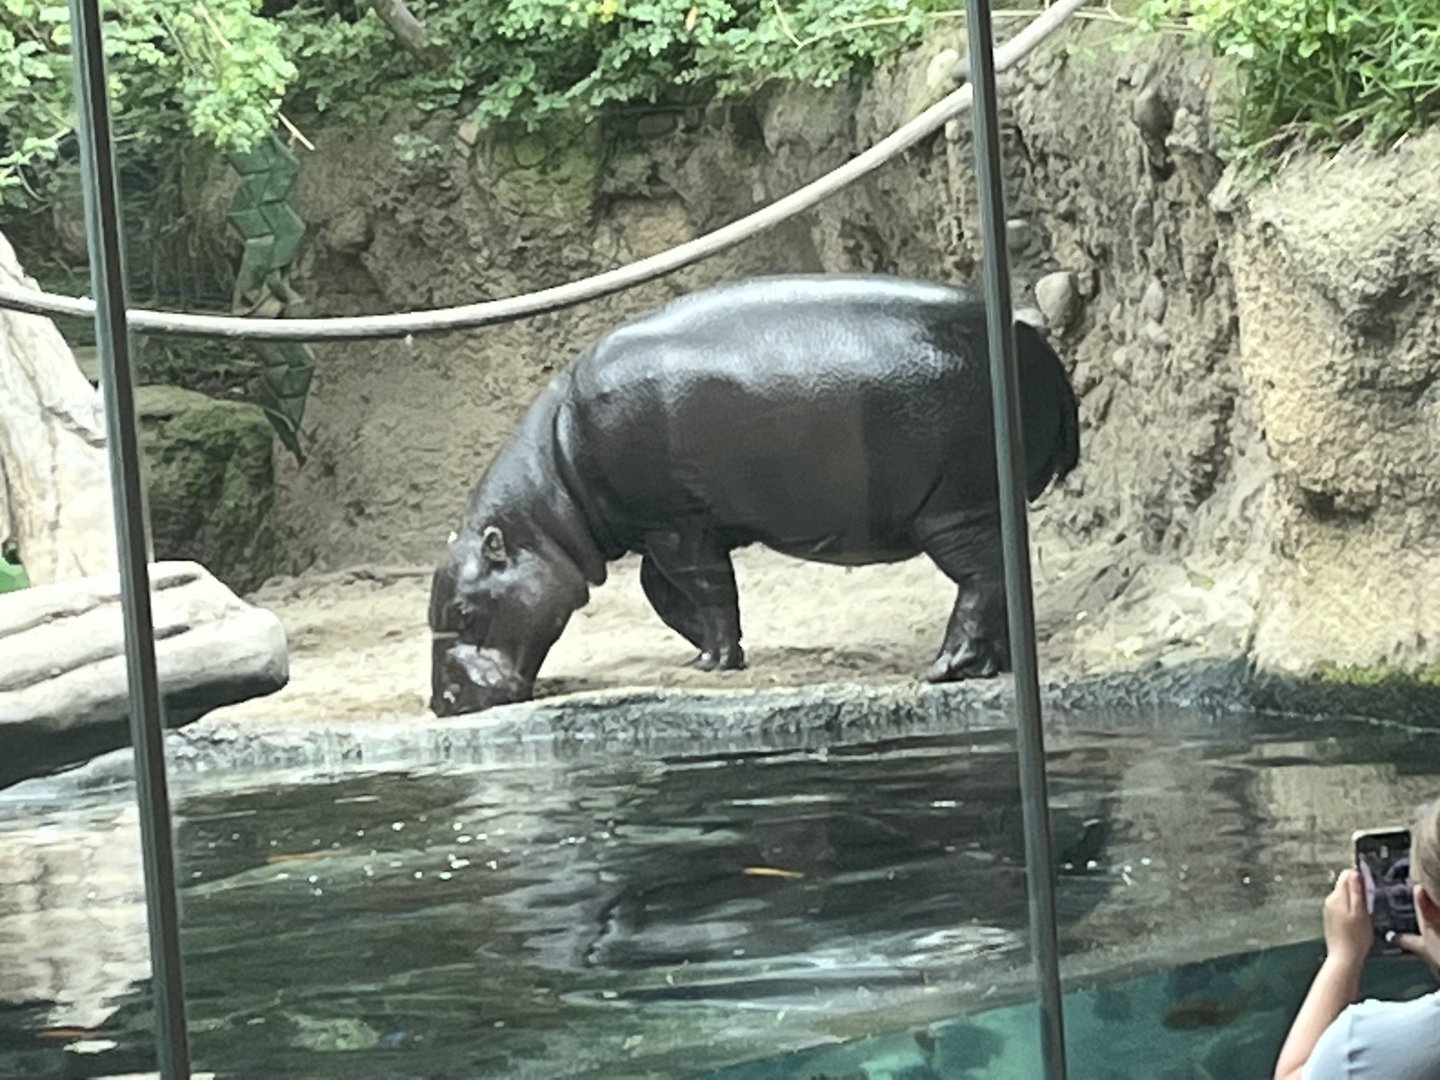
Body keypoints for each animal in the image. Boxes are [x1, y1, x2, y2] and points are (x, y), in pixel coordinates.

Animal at [429, 274, 1080, 716]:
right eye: (433, 615)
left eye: (464, 611)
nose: (442, 702)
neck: (551, 496)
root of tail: (1041, 351)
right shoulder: (666, 529)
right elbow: (665, 595)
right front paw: (704, 655)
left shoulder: (677, 524)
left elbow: (707, 590)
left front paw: (717, 660)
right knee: (1000, 578)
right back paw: (989, 663)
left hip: (955, 508)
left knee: (983, 577)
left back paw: (948, 667)